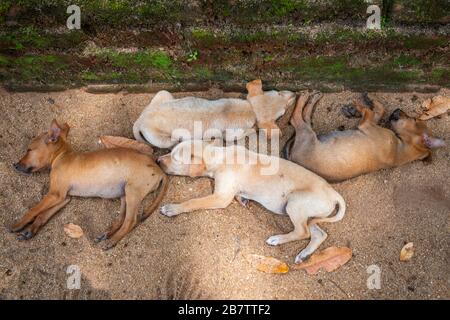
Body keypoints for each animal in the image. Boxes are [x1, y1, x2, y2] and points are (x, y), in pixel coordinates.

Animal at [10, 120, 169, 250]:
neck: (61, 156)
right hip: (124, 193)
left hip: (132, 193)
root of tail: (159, 170)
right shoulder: (63, 197)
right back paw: (107, 234)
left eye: (29, 150)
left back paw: (112, 241)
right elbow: (43, 215)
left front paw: (18, 224)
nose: (15, 165)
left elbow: (34, 210)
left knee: (130, 221)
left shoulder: (55, 195)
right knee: (122, 219)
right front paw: (31, 229)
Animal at [132, 80, 298, 149]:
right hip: (161, 139)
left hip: (164, 94)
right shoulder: (230, 134)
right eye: (282, 113)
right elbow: (240, 134)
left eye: (278, 92)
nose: (295, 94)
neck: (250, 109)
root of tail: (140, 120)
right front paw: (254, 128)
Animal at [156, 140, 346, 262]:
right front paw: (242, 198)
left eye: (175, 158)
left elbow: (193, 202)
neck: (219, 157)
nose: (157, 161)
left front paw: (172, 209)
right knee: (318, 233)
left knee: (303, 232)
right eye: (169, 151)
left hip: (295, 203)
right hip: (311, 214)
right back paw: (304, 254)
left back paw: (277, 239)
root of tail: (334, 194)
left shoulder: (220, 198)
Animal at [284, 92, 444, 182]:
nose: (398, 109)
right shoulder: (371, 122)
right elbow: (379, 110)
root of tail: (292, 158)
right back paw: (313, 98)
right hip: (309, 132)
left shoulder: (366, 124)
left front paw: (357, 107)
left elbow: (370, 110)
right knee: (305, 117)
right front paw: (358, 107)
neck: (400, 148)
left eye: (414, 119)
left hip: (307, 135)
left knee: (296, 118)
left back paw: (305, 97)